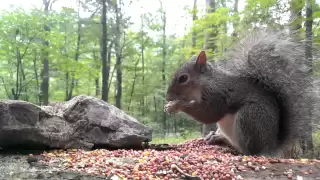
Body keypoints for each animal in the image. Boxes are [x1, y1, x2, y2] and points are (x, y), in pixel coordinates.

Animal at [164, 29, 318, 156]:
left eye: (183, 78)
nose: (167, 97)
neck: (205, 82)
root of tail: (271, 147)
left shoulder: (218, 94)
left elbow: (209, 113)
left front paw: (176, 105)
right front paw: (169, 106)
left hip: (249, 117)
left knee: (248, 151)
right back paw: (217, 137)